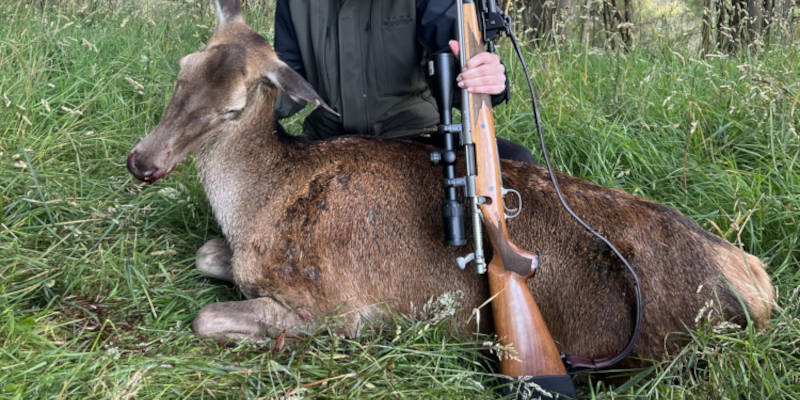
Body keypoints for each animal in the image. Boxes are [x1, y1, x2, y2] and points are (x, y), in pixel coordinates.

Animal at [126, 0, 773, 368]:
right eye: (182, 69)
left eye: (235, 107)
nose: (142, 161)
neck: (259, 204)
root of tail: (758, 284)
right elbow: (207, 254)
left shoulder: (331, 305)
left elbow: (207, 317)